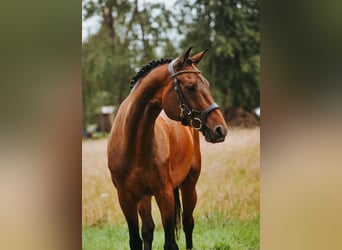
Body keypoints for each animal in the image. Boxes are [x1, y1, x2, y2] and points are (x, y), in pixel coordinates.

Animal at [108, 47, 228, 250]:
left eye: (207, 84)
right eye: (191, 87)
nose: (220, 129)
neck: (134, 143)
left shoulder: (164, 194)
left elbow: (171, 242)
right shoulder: (125, 198)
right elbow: (136, 240)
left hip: (189, 186)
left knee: (188, 223)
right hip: (144, 197)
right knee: (148, 229)